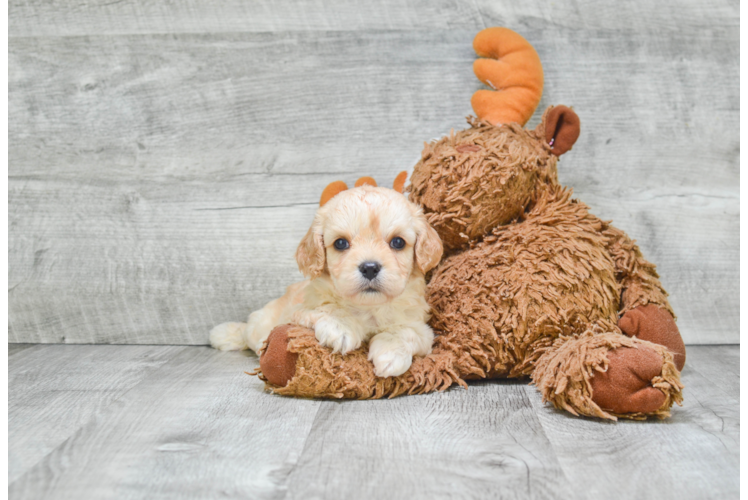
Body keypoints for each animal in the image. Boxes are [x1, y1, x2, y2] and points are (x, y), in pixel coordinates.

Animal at [209, 182, 444, 376]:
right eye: (340, 243)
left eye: (397, 242)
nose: (369, 268)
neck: (368, 308)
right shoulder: (298, 312)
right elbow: (327, 308)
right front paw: (341, 328)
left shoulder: (423, 330)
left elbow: (406, 331)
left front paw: (390, 355)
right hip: (261, 323)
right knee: (248, 332)